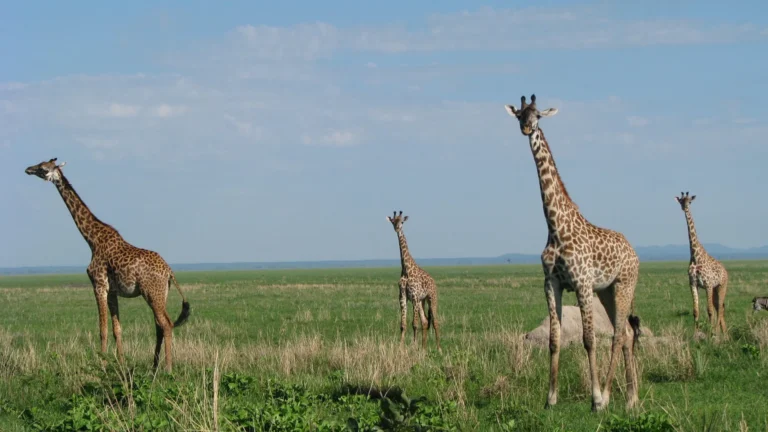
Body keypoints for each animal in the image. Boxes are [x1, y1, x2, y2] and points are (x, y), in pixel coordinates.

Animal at [25, 158, 190, 372]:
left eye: (43, 168)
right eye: (39, 164)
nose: (28, 169)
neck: (92, 239)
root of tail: (170, 272)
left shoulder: (99, 284)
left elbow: (102, 329)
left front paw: (101, 363)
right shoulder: (112, 291)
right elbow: (116, 328)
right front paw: (120, 363)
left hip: (151, 292)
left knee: (166, 323)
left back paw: (167, 368)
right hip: (161, 294)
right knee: (159, 325)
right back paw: (154, 366)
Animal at [386, 211, 441, 352]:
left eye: (402, 222)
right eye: (393, 221)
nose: (397, 228)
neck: (406, 269)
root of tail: (434, 282)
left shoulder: (415, 297)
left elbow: (414, 324)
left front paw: (414, 346)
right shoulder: (403, 297)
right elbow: (403, 324)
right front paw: (401, 347)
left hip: (431, 298)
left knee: (435, 321)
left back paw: (439, 348)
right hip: (422, 301)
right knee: (426, 321)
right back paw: (424, 348)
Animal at [505, 95, 640, 411]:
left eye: (538, 115)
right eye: (519, 114)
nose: (526, 128)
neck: (555, 226)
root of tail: (633, 250)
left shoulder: (581, 283)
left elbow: (589, 339)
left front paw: (595, 398)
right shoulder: (551, 283)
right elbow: (554, 340)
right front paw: (550, 399)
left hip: (624, 285)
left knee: (618, 334)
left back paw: (608, 396)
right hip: (606, 291)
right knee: (627, 333)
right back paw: (631, 399)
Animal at [675, 192, 728, 334]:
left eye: (690, 201)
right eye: (681, 201)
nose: (685, 207)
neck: (695, 255)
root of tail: (726, 271)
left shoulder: (708, 284)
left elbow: (709, 311)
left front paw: (711, 333)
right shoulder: (693, 284)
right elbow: (695, 311)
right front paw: (696, 333)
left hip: (721, 286)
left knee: (719, 308)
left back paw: (719, 332)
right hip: (715, 289)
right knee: (719, 308)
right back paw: (724, 333)